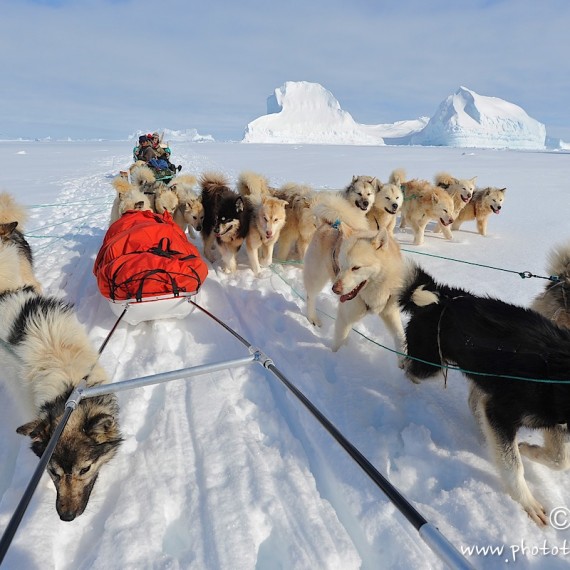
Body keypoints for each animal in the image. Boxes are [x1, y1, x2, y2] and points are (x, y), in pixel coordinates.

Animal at [302, 195, 404, 356]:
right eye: (341, 265)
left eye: (356, 268)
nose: (335, 290)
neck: (373, 292)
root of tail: (328, 223)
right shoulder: (345, 316)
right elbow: (338, 344)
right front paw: (335, 358)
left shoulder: (390, 311)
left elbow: (400, 337)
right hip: (316, 279)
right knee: (310, 297)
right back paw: (313, 318)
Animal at [398, 266, 568, 524]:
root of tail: (444, 295)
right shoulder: (502, 413)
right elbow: (514, 467)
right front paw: (527, 502)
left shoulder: (552, 419)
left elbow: (560, 460)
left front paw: (527, 448)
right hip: (429, 367)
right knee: (410, 370)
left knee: (475, 400)